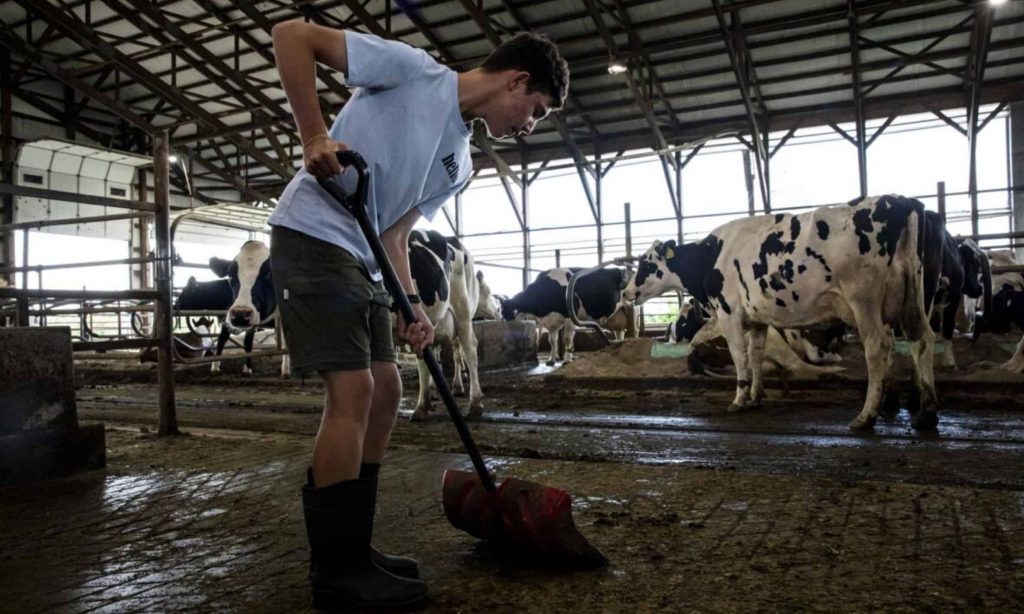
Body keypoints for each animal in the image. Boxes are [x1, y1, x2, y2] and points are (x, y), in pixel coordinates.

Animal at [206, 241, 290, 376]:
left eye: (270, 274)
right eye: (230, 275)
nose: (240, 314)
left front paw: (286, 370)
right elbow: (248, 341)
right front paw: (247, 369)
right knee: (222, 337)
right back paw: (215, 367)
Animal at [622, 196, 942, 431]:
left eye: (647, 264)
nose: (625, 293)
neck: (711, 255)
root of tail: (899, 200)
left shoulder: (729, 313)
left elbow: (740, 356)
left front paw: (739, 398)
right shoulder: (757, 320)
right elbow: (755, 355)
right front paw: (755, 397)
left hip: (863, 300)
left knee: (878, 347)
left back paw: (866, 415)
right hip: (912, 297)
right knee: (921, 339)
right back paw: (924, 412)